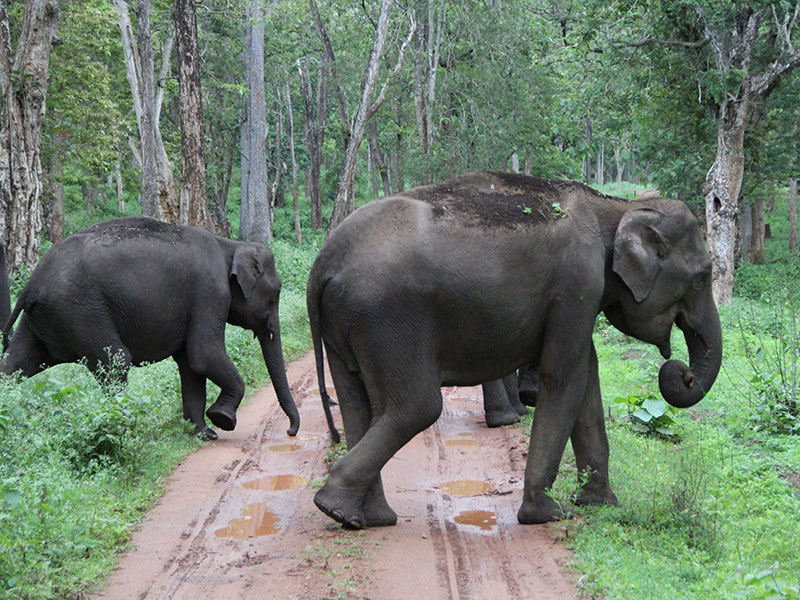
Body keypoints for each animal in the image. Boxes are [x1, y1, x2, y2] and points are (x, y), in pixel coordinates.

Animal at [0, 217, 300, 440]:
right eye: (275, 293)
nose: (290, 431)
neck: (231, 245)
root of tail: (32, 283)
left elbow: (190, 365)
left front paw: (203, 434)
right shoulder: (210, 293)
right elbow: (204, 355)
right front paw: (222, 421)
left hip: (45, 317)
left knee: (17, 364)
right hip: (81, 311)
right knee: (116, 361)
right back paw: (125, 428)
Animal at [310, 171, 720, 528]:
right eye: (703, 277)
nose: (681, 372)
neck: (618, 207)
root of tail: (323, 262)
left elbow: (587, 377)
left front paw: (601, 505)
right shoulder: (578, 283)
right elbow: (565, 376)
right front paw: (548, 514)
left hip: (347, 323)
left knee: (358, 406)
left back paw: (365, 518)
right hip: (386, 318)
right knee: (416, 406)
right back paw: (335, 507)